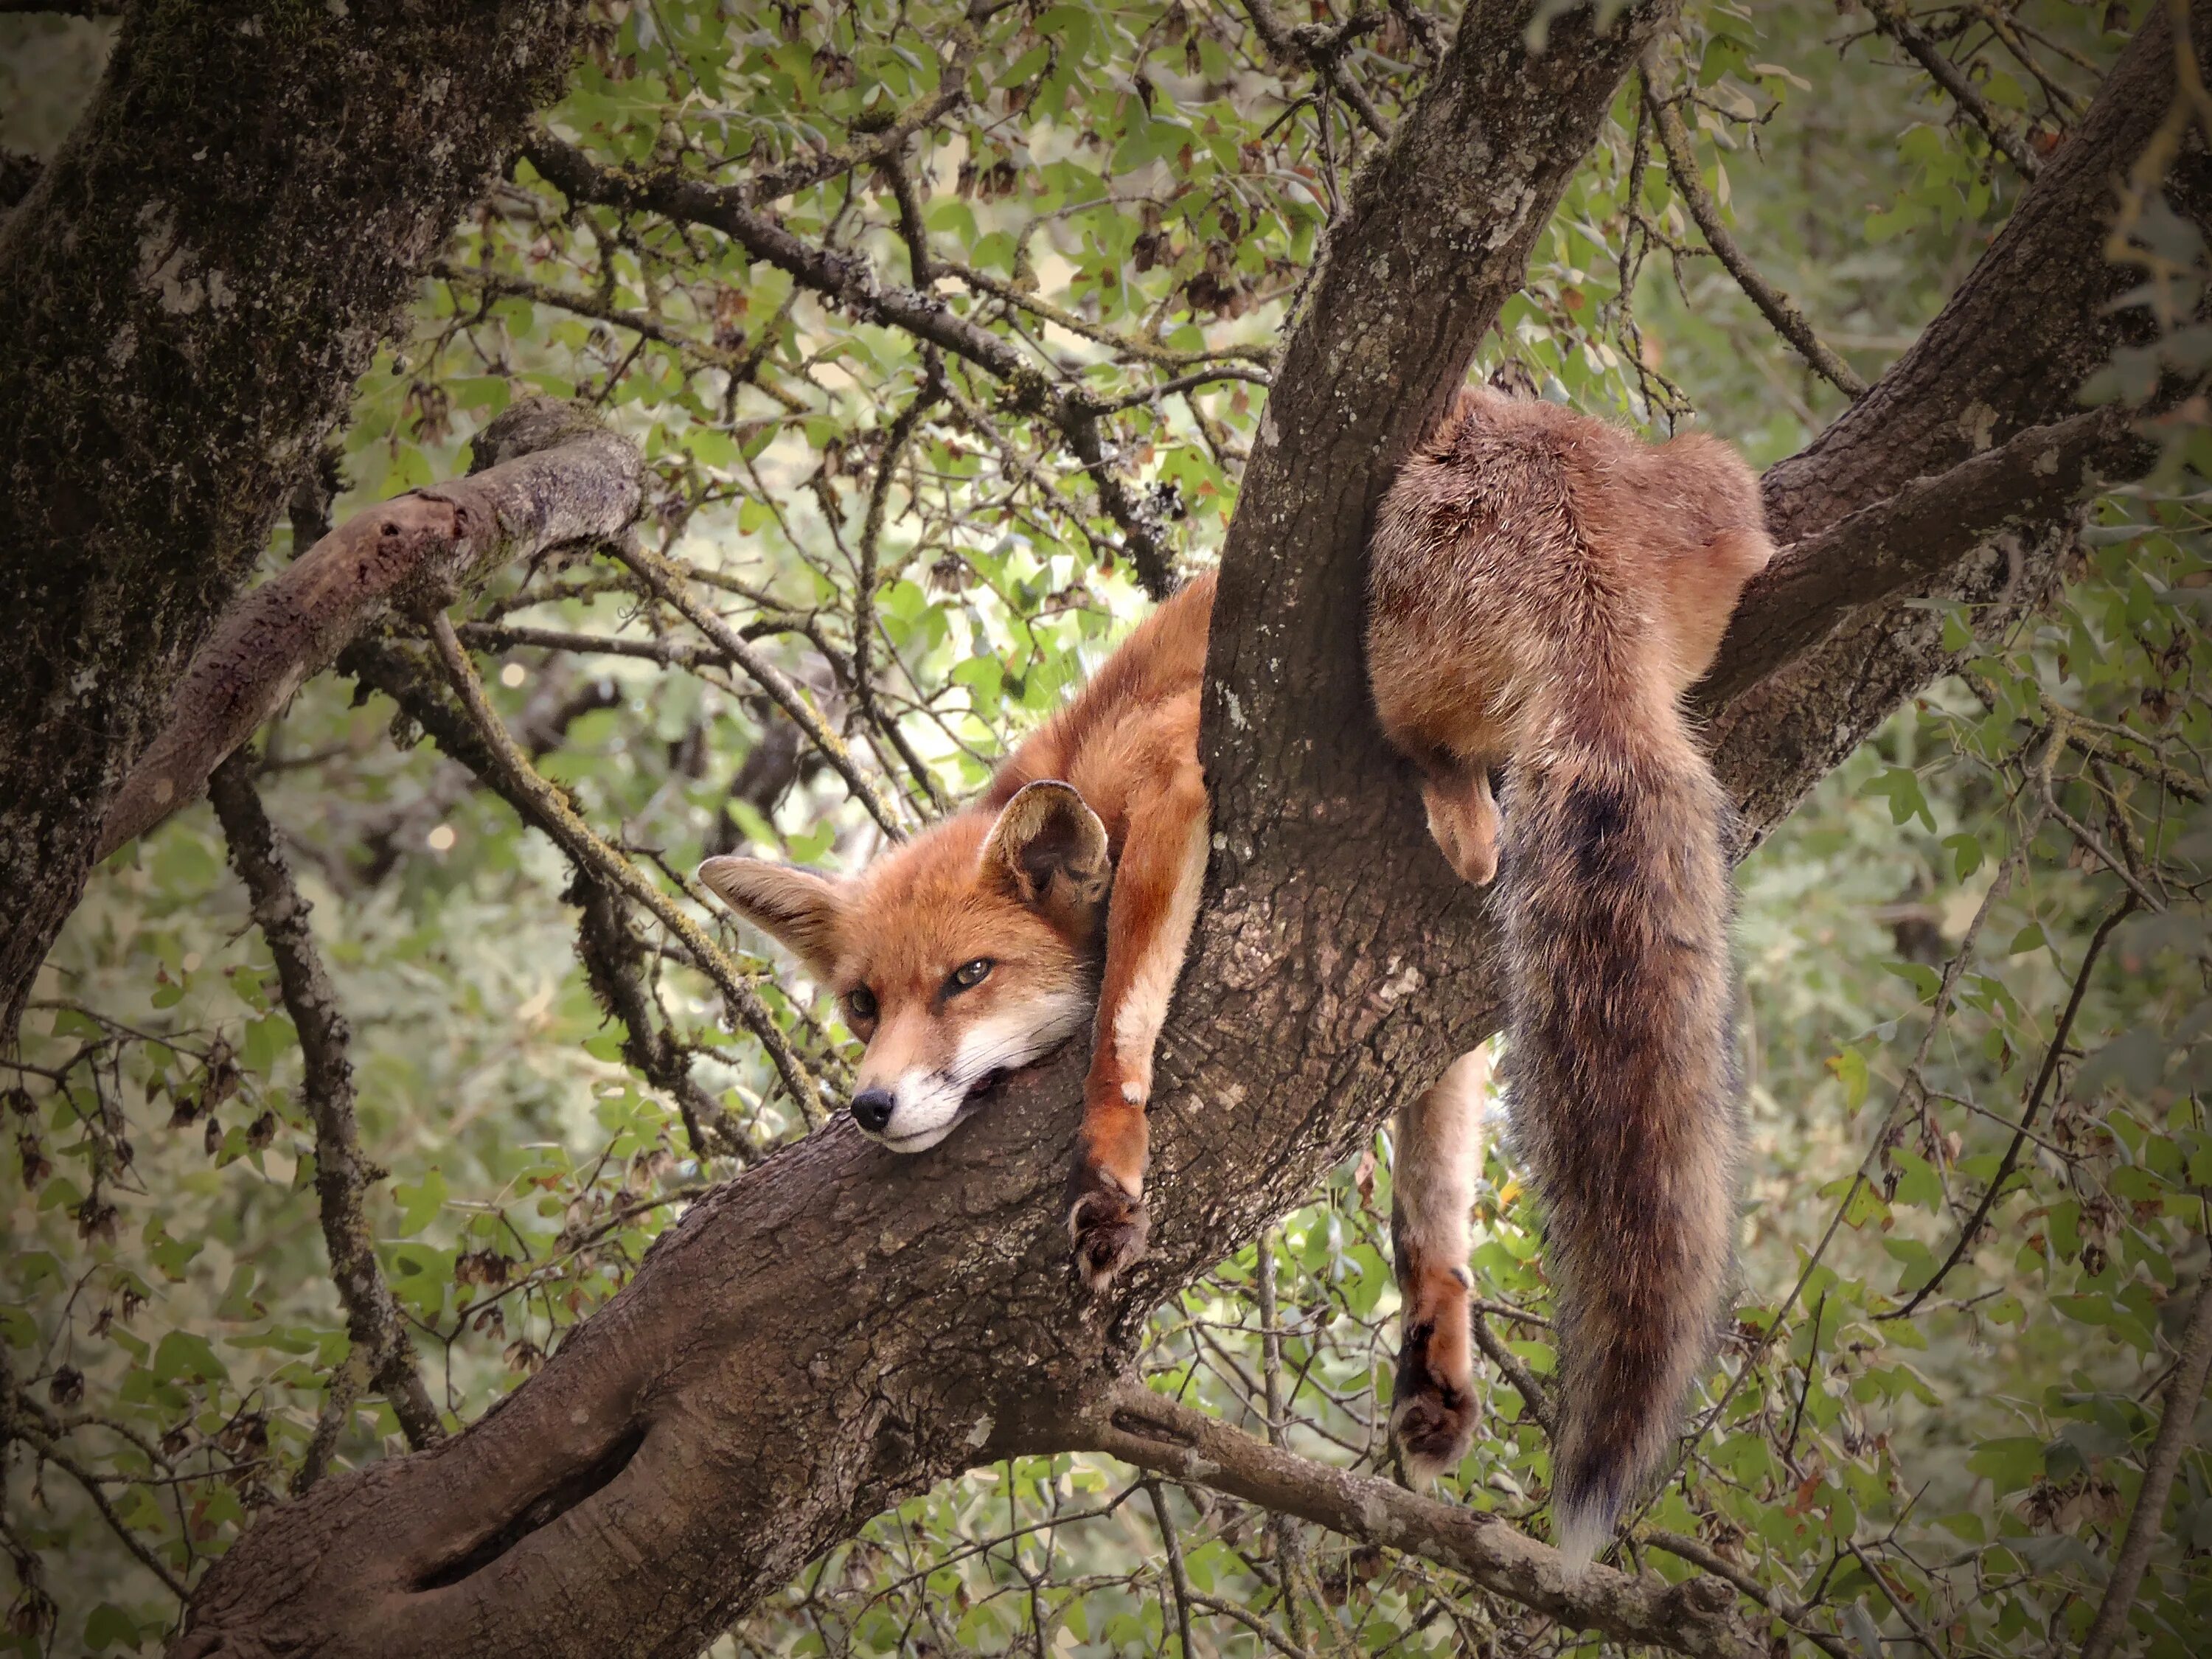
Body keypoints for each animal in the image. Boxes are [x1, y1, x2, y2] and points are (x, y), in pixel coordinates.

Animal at [699, 387, 1770, 1575]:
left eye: (969, 977)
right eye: (862, 1005)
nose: (872, 1106)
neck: (1077, 753)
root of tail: (1562, 466)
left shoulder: (1173, 787)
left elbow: (1119, 1021)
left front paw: (1110, 1171)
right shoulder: (1431, 999)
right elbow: (1429, 1195)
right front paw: (1438, 1349)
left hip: (1396, 649)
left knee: (1442, 767)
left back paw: (1460, 804)